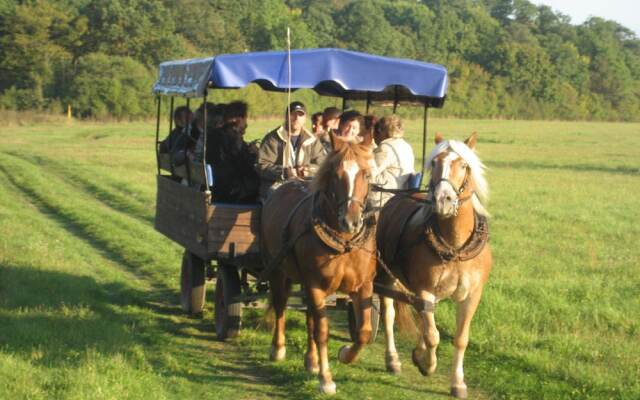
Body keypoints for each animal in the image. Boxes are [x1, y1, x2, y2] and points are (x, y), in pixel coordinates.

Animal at [262, 134, 378, 394]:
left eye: (366, 174)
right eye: (336, 175)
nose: (351, 221)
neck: (344, 243)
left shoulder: (364, 285)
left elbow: (363, 332)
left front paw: (345, 355)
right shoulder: (316, 285)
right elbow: (322, 330)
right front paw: (326, 379)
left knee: (309, 317)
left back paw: (311, 360)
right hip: (278, 271)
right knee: (281, 304)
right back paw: (278, 348)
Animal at [378, 133, 492, 398]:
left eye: (464, 165)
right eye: (435, 163)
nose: (443, 200)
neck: (455, 247)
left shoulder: (472, 295)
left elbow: (460, 338)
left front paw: (458, 382)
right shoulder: (424, 290)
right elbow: (432, 335)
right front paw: (427, 365)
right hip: (387, 276)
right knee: (389, 314)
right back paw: (393, 359)